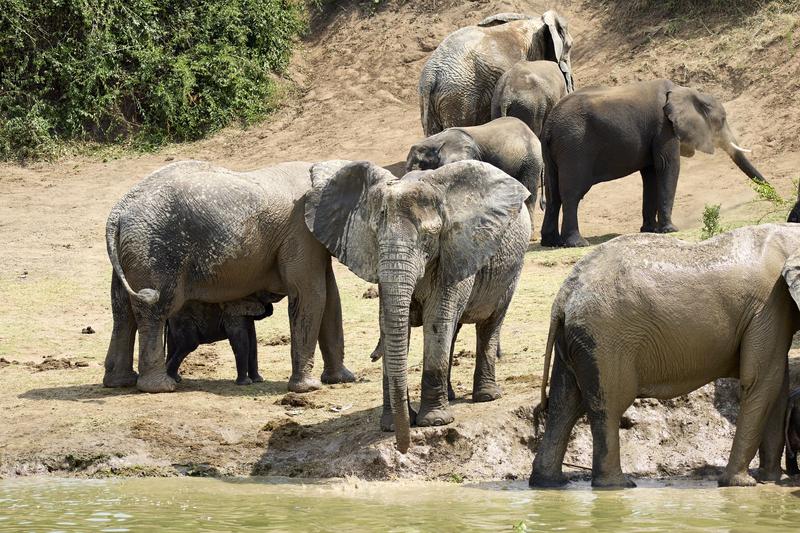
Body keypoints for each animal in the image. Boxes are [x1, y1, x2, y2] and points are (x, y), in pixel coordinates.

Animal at [104, 158, 356, 390]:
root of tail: (118, 211)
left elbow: (330, 297)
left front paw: (342, 379)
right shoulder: (300, 233)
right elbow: (310, 295)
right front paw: (309, 388)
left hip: (132, 252)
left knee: (123, 312)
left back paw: (120, 382)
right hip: (154, 250)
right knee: (155, 309)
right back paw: (161, 386)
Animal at [306, 160, 532, 450]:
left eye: (427, 239)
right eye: (374, 237)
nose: (403, 446)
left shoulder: (453, 252)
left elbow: (437, 320)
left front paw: (434, 422)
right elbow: (391, 323)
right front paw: (391, 426)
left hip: (513, 270)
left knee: (489, 324)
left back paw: (487, 396)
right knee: (454, 332)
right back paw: (451, 395)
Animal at [532, 222, 800, 488]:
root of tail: (562, 298)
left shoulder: (774, 307)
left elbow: (777, 385)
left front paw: (768, 479)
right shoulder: (767, 306)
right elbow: (762, 381)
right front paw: (741, 484)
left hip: (577, 342)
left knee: (563, 404)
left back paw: (549, 483)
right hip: (606, 338)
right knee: (609, 404)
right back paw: (618, 485)